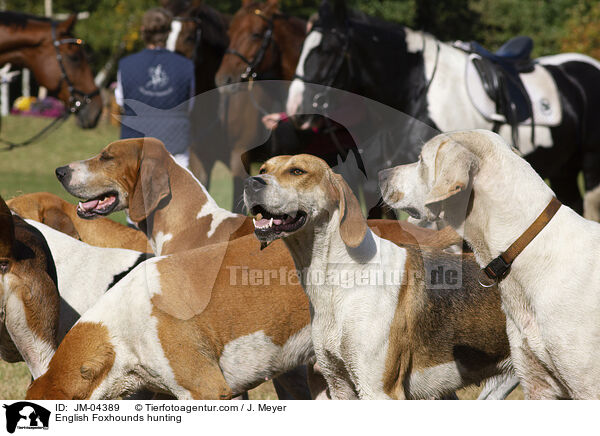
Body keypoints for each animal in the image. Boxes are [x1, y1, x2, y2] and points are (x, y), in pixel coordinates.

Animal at [288, 0, 600, 218]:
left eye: (328, 49)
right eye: (301, 46)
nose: (296, 109)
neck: (415, 91)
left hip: (590, 164)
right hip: (564, 168)